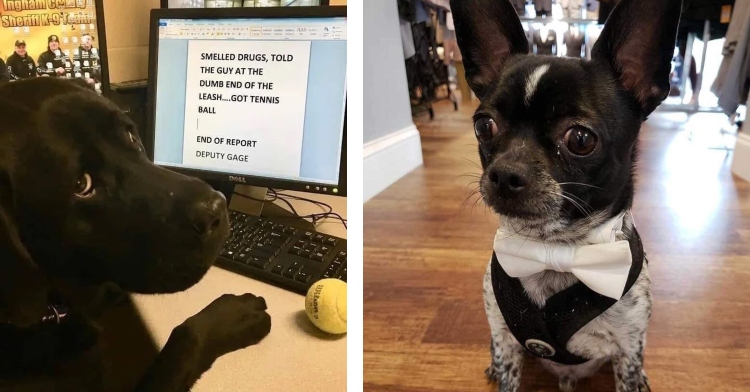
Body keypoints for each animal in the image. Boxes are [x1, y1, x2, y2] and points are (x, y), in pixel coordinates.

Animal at [450, 0, 684, 390]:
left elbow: (629, 369)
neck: (554, 249)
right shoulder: (505, 339)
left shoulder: (628, 349)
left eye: (580, 139)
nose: (504, 173)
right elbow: (507, 370)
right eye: (484, 127)